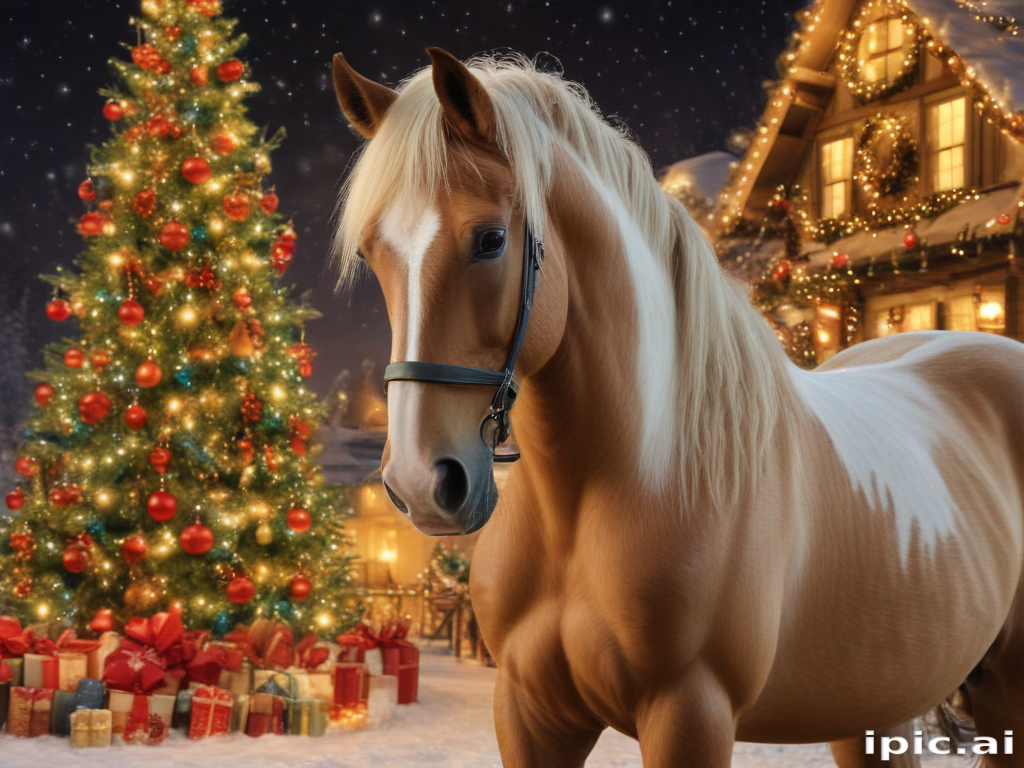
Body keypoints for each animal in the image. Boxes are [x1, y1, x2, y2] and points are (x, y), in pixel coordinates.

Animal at [329, 48, 1024, 767]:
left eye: (491, 239)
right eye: (372, 253)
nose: (420, 482)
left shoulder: (691, 712)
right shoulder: (527, 712)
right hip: (873, 706)